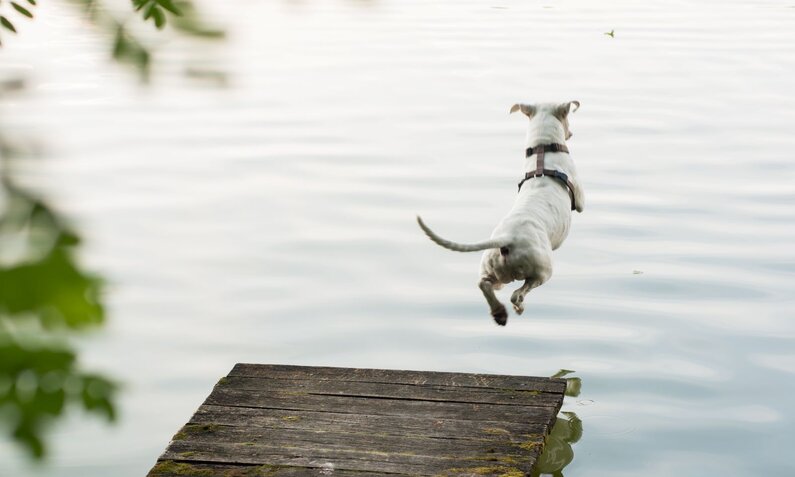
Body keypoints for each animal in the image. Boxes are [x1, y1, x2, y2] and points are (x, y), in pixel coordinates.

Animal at [416, 102, 584, 326]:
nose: (571, 133)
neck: (542, 151)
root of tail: (507, 239)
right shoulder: (580, 197)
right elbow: (581, 204)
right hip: (542, 269)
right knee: (519, 292)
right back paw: (516, 306)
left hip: (493, 269)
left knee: (484, 284)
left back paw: (499, 312)